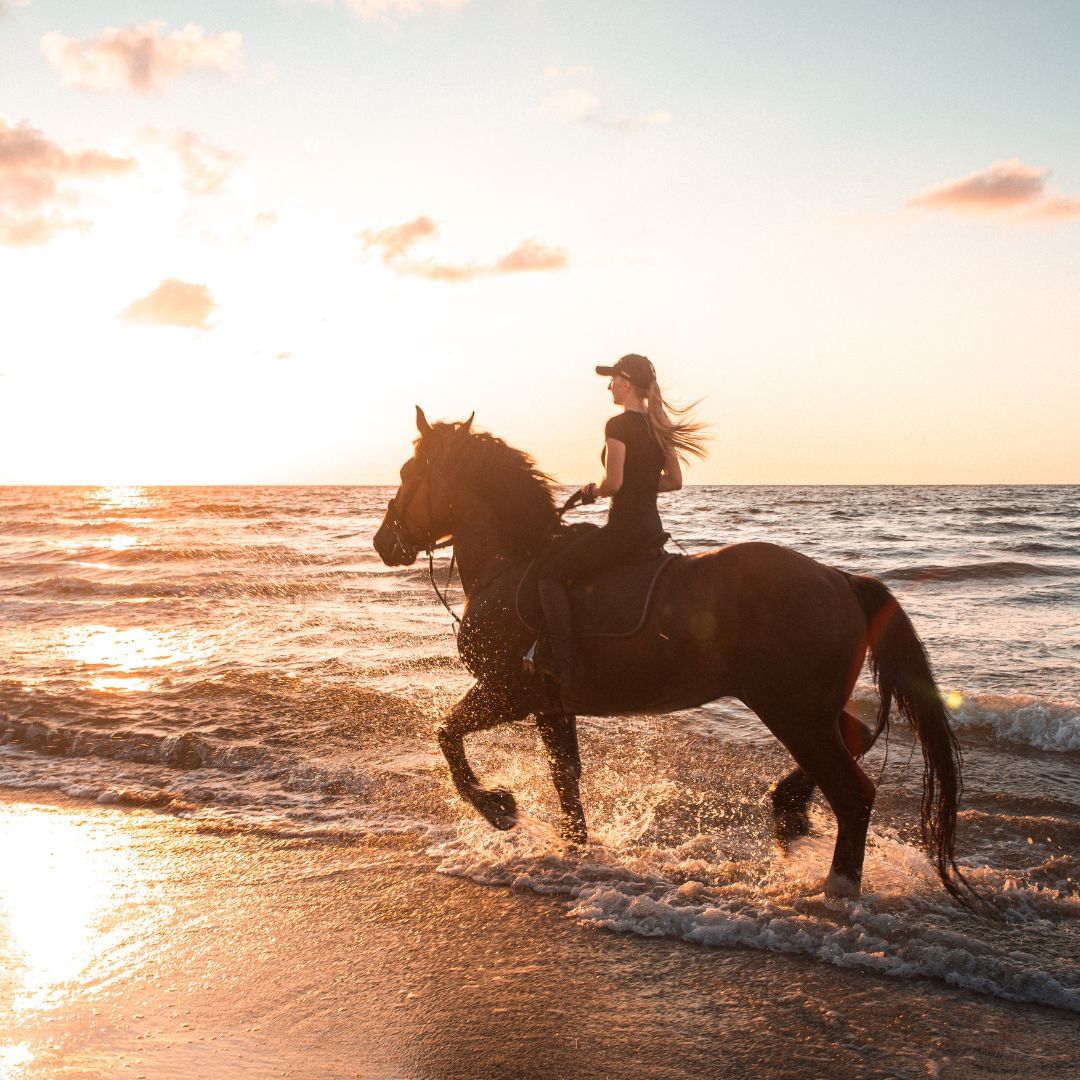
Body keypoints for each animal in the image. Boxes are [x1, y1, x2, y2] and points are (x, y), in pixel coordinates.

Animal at [373, 407, 977, 905]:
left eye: (407, 473)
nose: (384, 543)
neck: (511, 563)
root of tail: (841, 579)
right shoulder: (551, 705)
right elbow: (566, 780)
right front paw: (573, 850)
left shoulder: (508, 693)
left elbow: (448, 737)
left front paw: (498, 807)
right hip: (811, 709)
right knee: (857, 734)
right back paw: (788, 813)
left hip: (792, 711)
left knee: (853, 793)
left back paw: (837, 886)